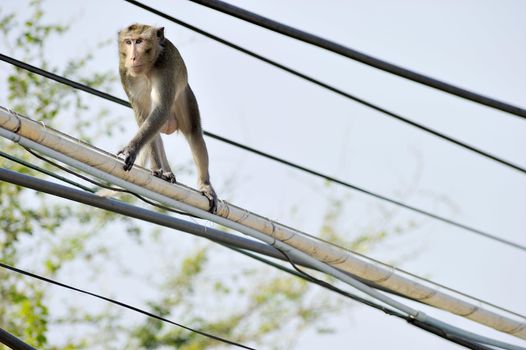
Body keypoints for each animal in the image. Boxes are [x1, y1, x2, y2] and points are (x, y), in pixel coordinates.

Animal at [118, 23, 219, 213]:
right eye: (128, 42)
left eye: (139, 41)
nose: (133, 57)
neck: (148, 69)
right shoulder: (125, 73)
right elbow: (143, 116)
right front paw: (155, 168)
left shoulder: (166, 68)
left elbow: (162, 110)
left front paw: (131, 150)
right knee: (154, 130)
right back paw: (164, 170)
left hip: (184, 96)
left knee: (194, 133)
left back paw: (205, 185)